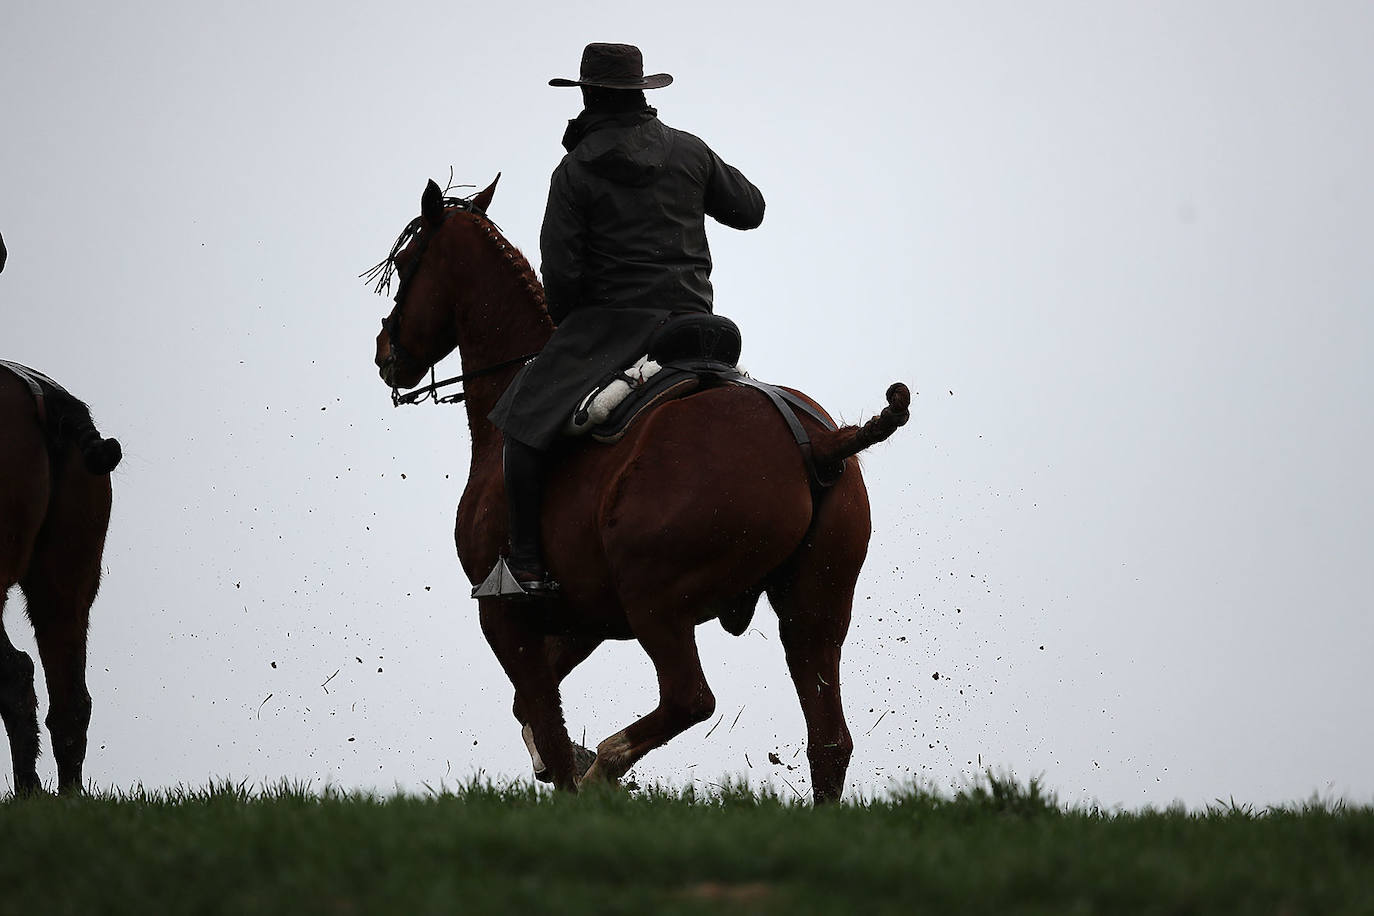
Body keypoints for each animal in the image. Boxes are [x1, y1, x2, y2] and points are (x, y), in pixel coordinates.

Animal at [373, 177, 912, 802]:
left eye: (405, 264)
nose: (384, 353)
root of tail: (820, 442)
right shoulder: (584, 619)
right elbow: (529, 710)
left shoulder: (506, 616)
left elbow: (546, 725)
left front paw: (568, 774)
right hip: (812, 608)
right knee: (829, 741)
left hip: (657, 601)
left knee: (689, 698)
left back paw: (605, 767)